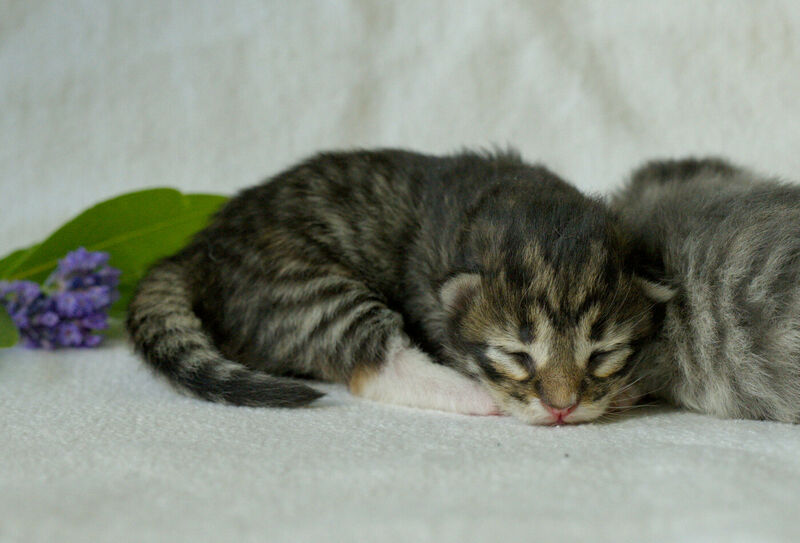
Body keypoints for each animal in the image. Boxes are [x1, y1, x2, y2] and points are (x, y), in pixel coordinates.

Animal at [126, 149, 664, 424]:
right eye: (517, 356)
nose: (561, 407)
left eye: (601, 355)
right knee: (372, 360)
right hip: (303, 284)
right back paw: (475, 395)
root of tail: (199, 251)